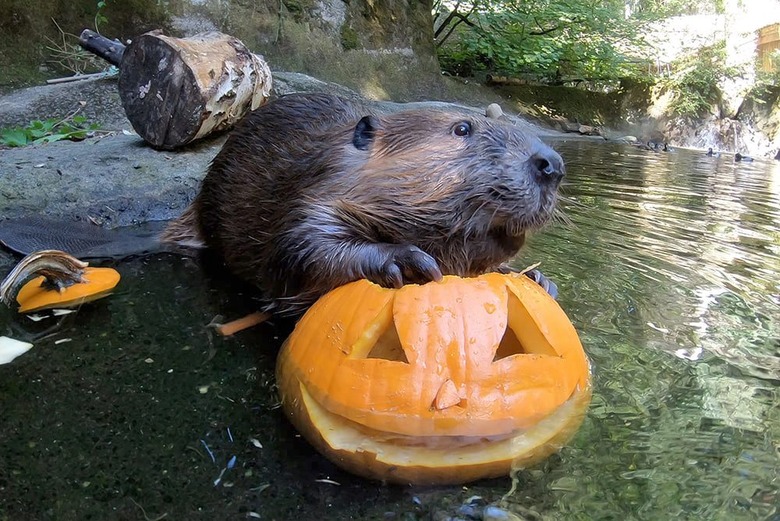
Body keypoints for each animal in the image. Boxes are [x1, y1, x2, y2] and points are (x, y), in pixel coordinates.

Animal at [163, 91, 568, 314]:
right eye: (462, 128)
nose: (552, 165)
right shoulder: (313, 191)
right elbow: (300, 247)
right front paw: (407, 261)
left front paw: (538, 279)